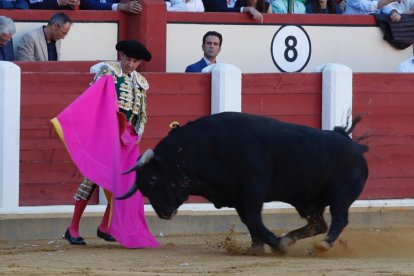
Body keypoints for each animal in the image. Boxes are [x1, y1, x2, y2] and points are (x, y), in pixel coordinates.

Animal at [117, 111, 368, 252]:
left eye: (153, 178)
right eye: (143, 189)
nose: (164, 213)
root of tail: (357, 148)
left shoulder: (253, 188)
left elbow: (254, 218)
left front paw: (275, 244)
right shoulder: (236, 196)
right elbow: (248, 221)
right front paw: (257, 247)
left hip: (340, 195)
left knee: (339, 219)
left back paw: (322, 244)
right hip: (309, 202)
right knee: (318, 224)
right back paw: (292, 238)